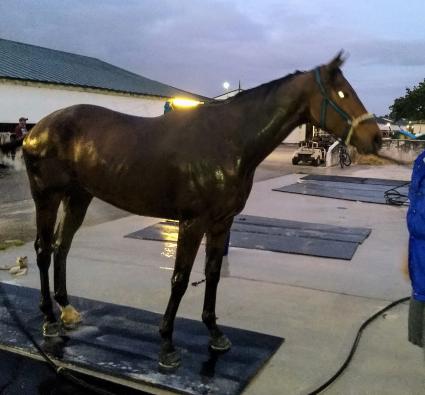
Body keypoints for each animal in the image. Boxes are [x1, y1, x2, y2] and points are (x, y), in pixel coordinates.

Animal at [22, 52, 380, 368]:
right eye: (342, 93)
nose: (376, 138)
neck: (229, 139)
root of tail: (38, 129)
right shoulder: (192, 223)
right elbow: (180, 279)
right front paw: (167, 345)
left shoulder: (221, 223)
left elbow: (213, 274)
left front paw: (215, 333)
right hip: (47, 197)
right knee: (42, 250)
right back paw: (49, 318)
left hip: (78, 198)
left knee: (62, 247)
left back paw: (67, 310)